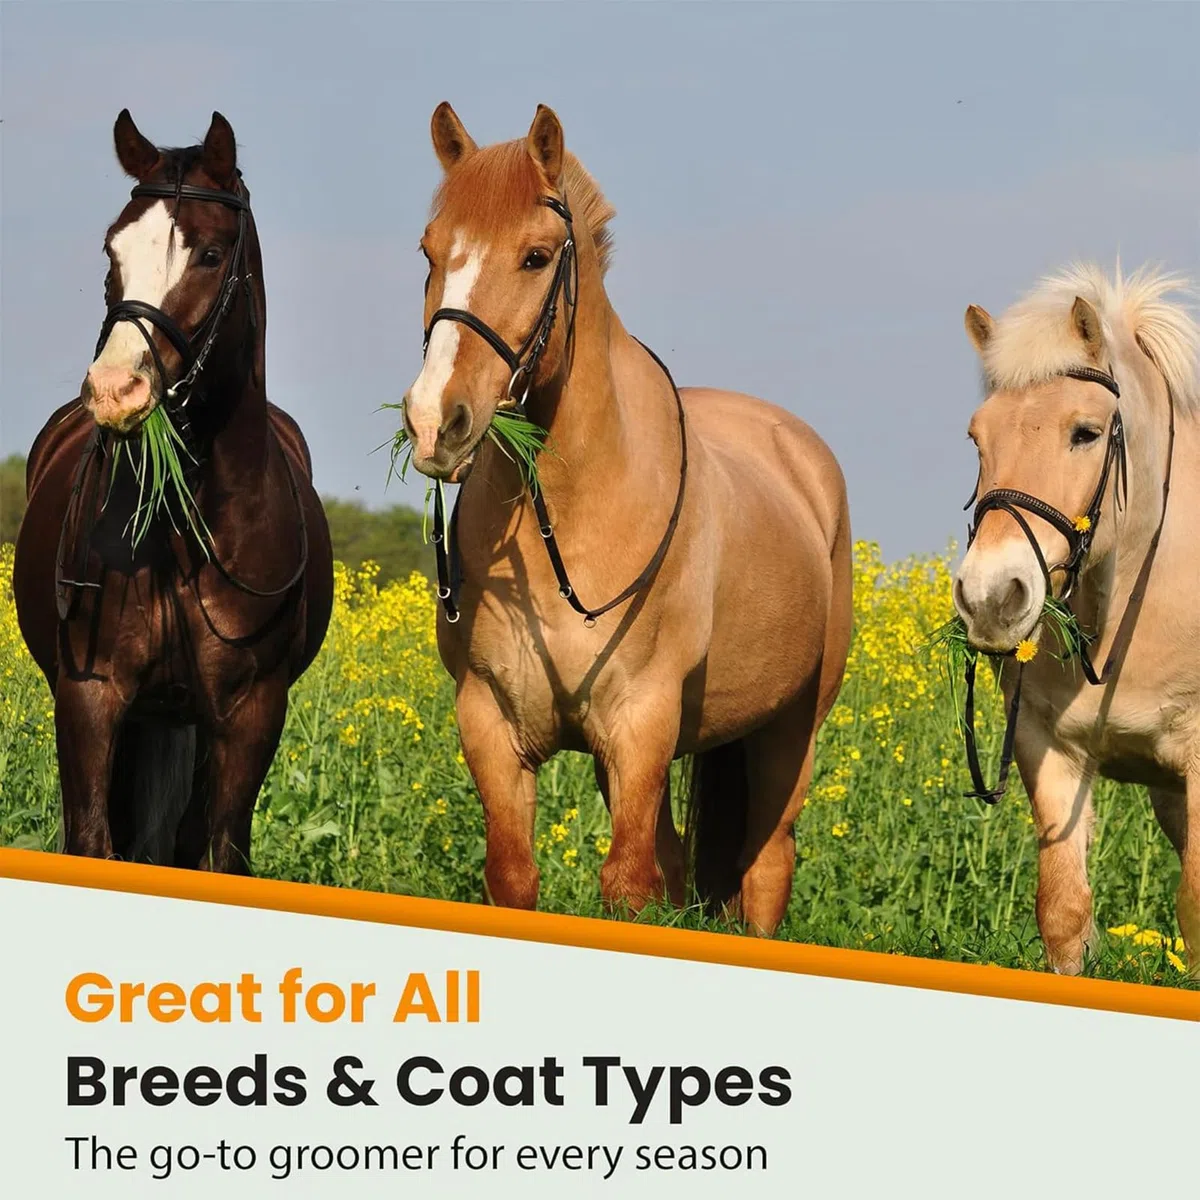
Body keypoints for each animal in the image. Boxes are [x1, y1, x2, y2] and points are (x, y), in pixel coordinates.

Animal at [12, 110, 333, 873]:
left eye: (211, 255)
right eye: (113, 249)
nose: (114, 391)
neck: (187, 526)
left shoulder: (248, 712)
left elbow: (218, 851)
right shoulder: (92, 696)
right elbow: (93, 840)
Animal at [399, 103, 852, 934]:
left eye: (536, 257)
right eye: (430, 251)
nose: (434, 421)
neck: (573, 518)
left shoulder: (640, 723)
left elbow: (630, 886)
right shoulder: (491, 723)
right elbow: (515, 876)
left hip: (788, 732)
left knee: (767, 868)